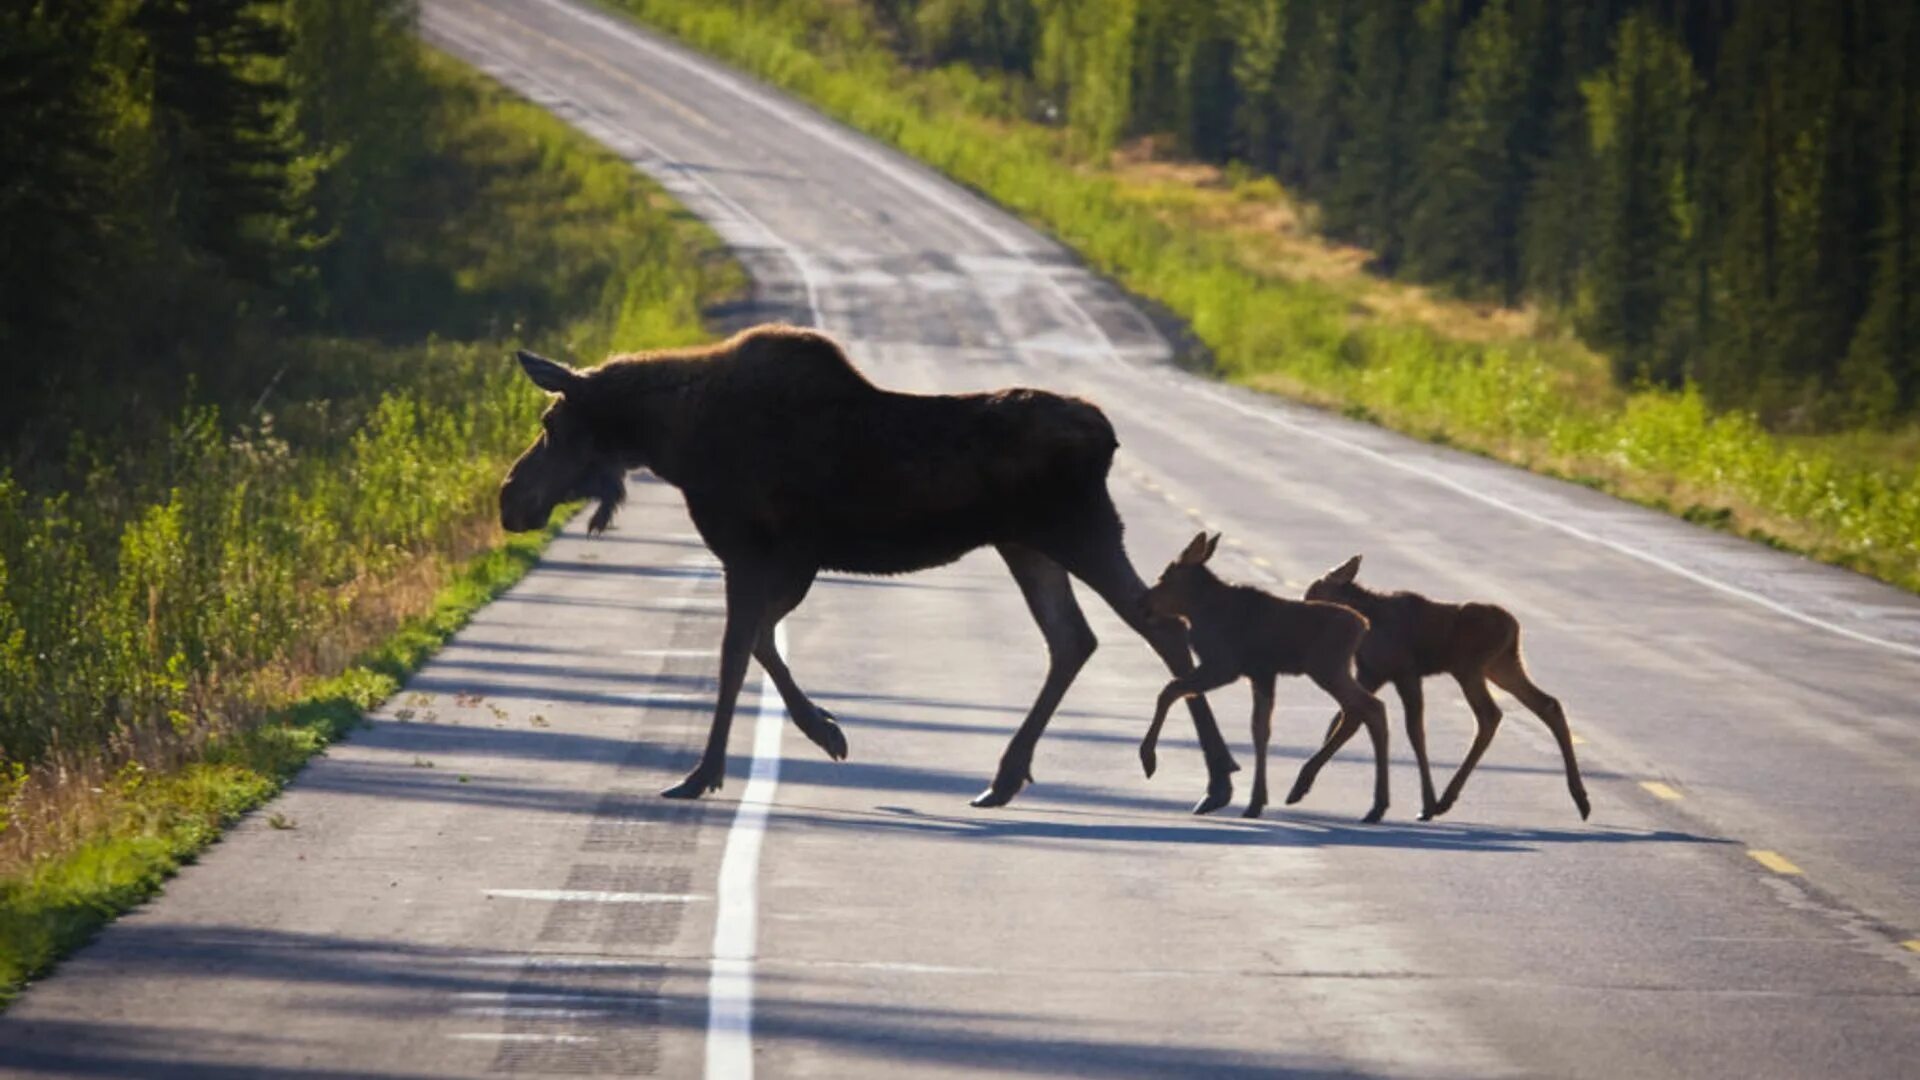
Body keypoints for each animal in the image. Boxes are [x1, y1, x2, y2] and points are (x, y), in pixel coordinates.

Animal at [499, 322, 1244, 810]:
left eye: (550, 423)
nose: (509, 499)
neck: (670, 443)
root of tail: (1108, 436)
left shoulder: (762, 552)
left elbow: (737, 652)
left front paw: (707, 771)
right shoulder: (782, 561)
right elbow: (757, 643)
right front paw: (825, 729)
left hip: (1077, 531)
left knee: (1156, 628)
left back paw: (1216, 778)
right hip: (1029, 544)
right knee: (1075, 639)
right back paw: (1008, 777)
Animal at [1128, 526, 1390, 814]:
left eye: (1164, 577)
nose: (1140, 603)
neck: (1198, 611)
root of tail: (1363, 624)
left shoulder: (1225, 664)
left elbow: (1170, 690)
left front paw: (1147, 758)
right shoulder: (1260, 673)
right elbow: (1260, 730)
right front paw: (1256, 801)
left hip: (1327, 667)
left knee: (1371, 708)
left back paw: (1371, 803)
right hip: (1332, 669)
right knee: (1359, 711)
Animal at [1290, 553, 1589, 814]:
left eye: (1313, 593)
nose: (1302, 610)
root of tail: (1515, 628)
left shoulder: (1405, 673)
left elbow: (1412, 730)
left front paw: (1426, 803)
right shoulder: (1372, 673)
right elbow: (1344, 719)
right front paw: (1305, 782)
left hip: (1470, 668)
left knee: (1490, 715)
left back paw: (1445, 798)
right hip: (1502, 666)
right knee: (1547, 704)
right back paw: (1580, 799)